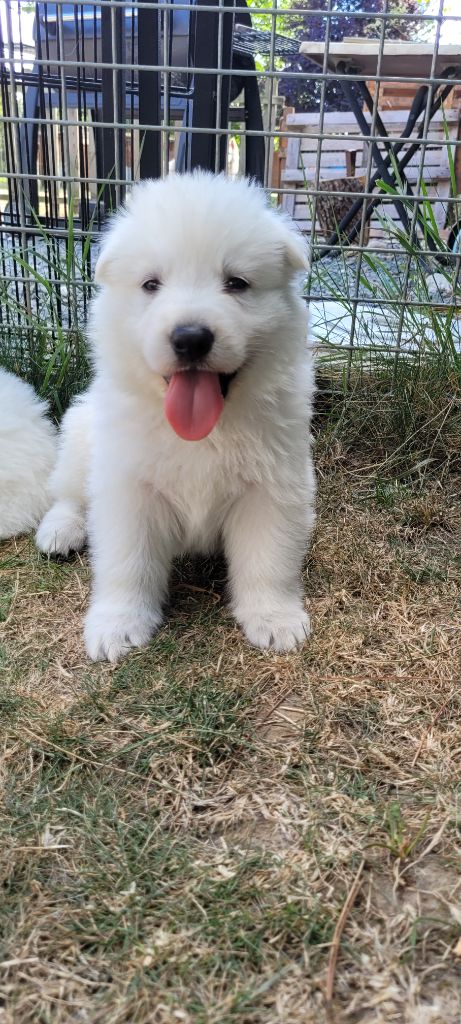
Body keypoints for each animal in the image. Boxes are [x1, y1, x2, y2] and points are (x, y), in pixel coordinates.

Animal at [36, 172, 316, 662]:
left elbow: (269, 557)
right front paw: (118, 624)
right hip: (81, 433)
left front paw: (275, 619)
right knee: (68, 493)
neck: (203, 432)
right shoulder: (128, 488)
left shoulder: (274, 486)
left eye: (236, 283)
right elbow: (127, 563)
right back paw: (60, 531)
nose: (190, 337)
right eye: (151, 284)